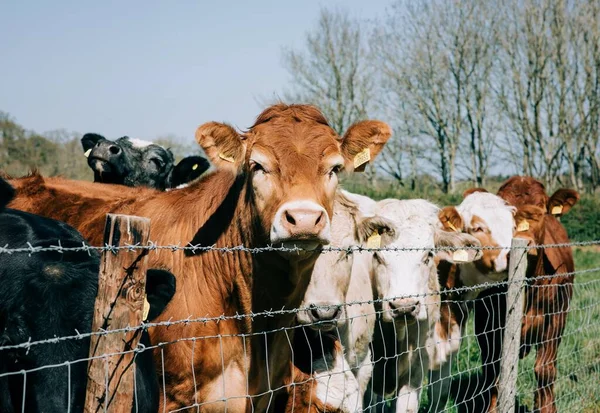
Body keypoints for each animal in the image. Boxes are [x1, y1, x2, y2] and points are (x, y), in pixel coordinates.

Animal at [472, 177, 580, 412]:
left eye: (541, 209)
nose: (524, 242)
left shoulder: (556, 320)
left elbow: (545, 369)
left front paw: (547, 409)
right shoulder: (487, 326)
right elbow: (493, 373)